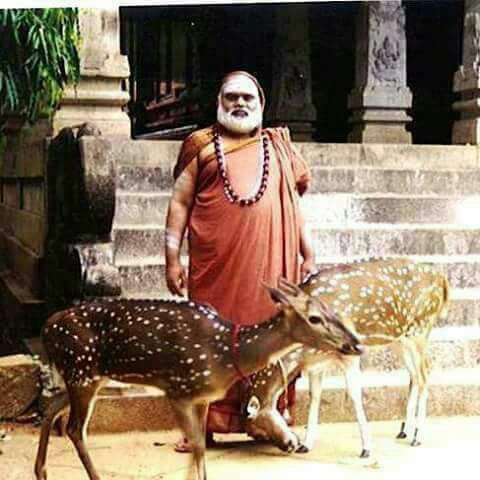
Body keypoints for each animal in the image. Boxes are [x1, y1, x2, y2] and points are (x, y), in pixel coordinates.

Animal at [34, 278, 363, 480]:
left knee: (51, 408)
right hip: (82, 371)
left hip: (86, 377)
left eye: (330, 308)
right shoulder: (178, 390)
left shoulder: (204, 397)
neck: (228, 354)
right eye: (314, 318)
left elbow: (202, 446)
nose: (356, 344)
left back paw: (41, 471)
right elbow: (196, 447)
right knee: (75, 429)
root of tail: (46, 328)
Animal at [244, 258, 449, 458]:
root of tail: (443, 280)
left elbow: (354, 393)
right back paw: (404, 430)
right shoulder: (317, 362)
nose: (289, 445)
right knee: (414, 375)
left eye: (260, 422)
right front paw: (307, 445)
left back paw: (417, 436)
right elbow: (314, 396)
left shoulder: (349, 352)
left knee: (425, 373)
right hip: (399, 339)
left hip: (420, 328)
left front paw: (366, 448)